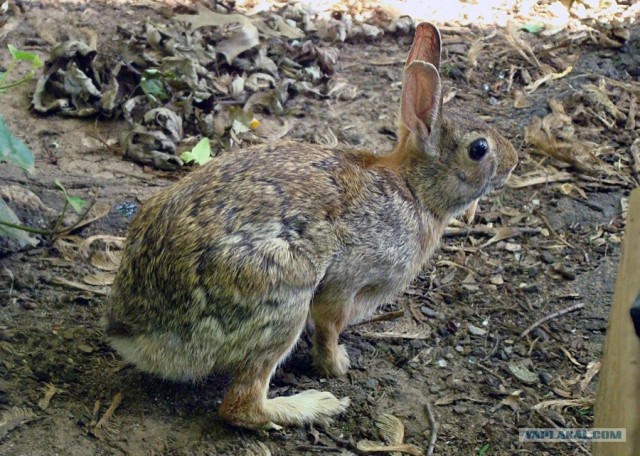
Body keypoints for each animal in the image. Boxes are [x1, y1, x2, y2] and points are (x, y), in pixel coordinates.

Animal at [102, 23, 516, 432]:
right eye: (479, 149)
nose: (513, 161)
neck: (413, 190)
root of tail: (135, 333)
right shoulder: (347, 280)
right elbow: (330, 326)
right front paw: (338, 366)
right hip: (283, 296)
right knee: (240, 405)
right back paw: (314, 406)